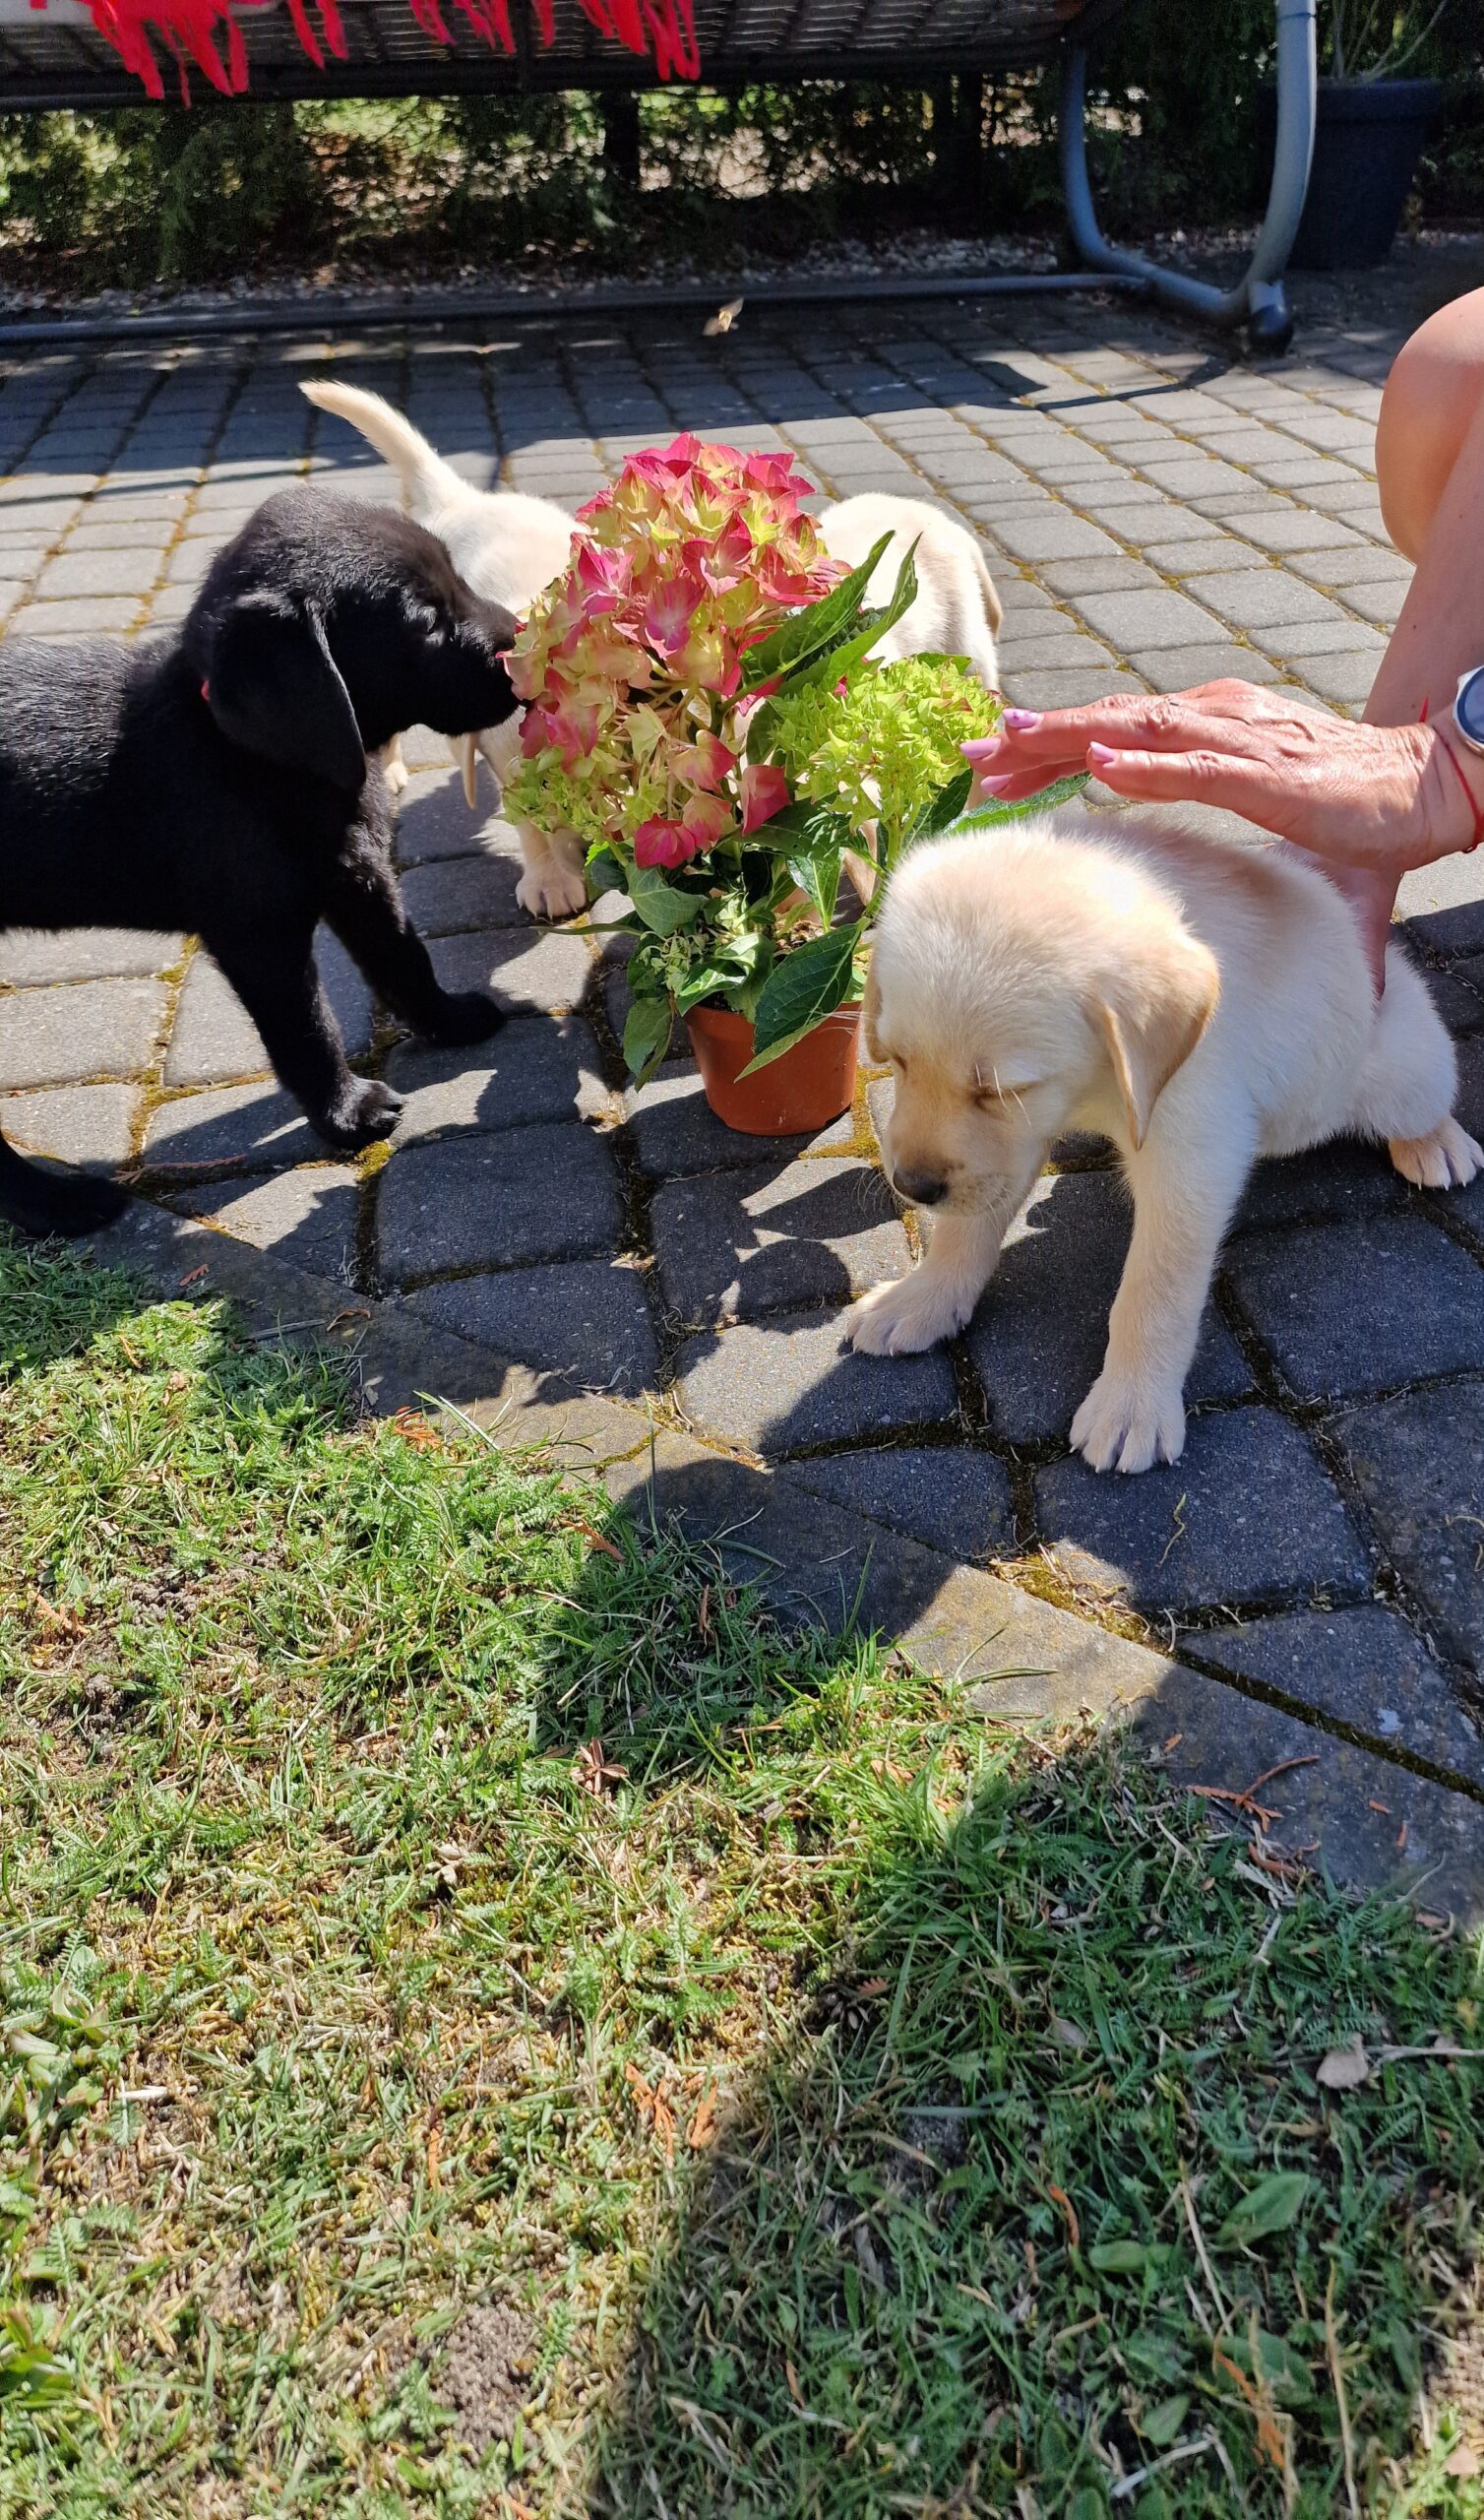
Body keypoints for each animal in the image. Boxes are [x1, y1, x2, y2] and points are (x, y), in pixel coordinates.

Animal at [0, 483, 519, 1240]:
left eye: (457, 578)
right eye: (425, 621)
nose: (525, 641)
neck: (254, 756)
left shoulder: (358, 874)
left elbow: (403, 957)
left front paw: (448, 1019)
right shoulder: (258, 934)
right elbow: (307, 1030)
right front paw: (347, 1113)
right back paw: (57, 1203)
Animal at [842, 810, 1482, 1473]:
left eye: (1002, 1089)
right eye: (898, 1061)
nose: (911, 1187)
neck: (1098, 1089)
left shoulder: (1188, 1157)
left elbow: (1155, 1291)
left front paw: (1132, 1404)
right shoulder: (1012, 1148)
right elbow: (965, 1229)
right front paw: (922, 1299)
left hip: (1392, 1074)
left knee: (1429, 1090)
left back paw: (1436, 1144)